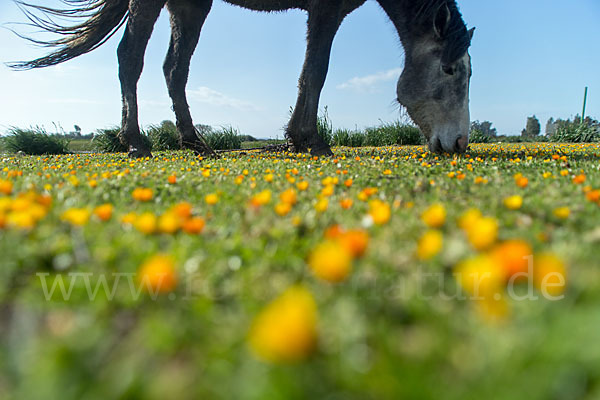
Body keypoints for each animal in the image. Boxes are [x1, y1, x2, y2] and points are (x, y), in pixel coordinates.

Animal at [8, 0, 474, 156]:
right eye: (450, 70)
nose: (458, 144)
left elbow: (311, 72)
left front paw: (297, 138)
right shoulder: (327, 9)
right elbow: (316, 70)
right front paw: (311, 140)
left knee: (173, 68)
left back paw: (194, 142)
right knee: (130, 58)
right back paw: (136, 141)